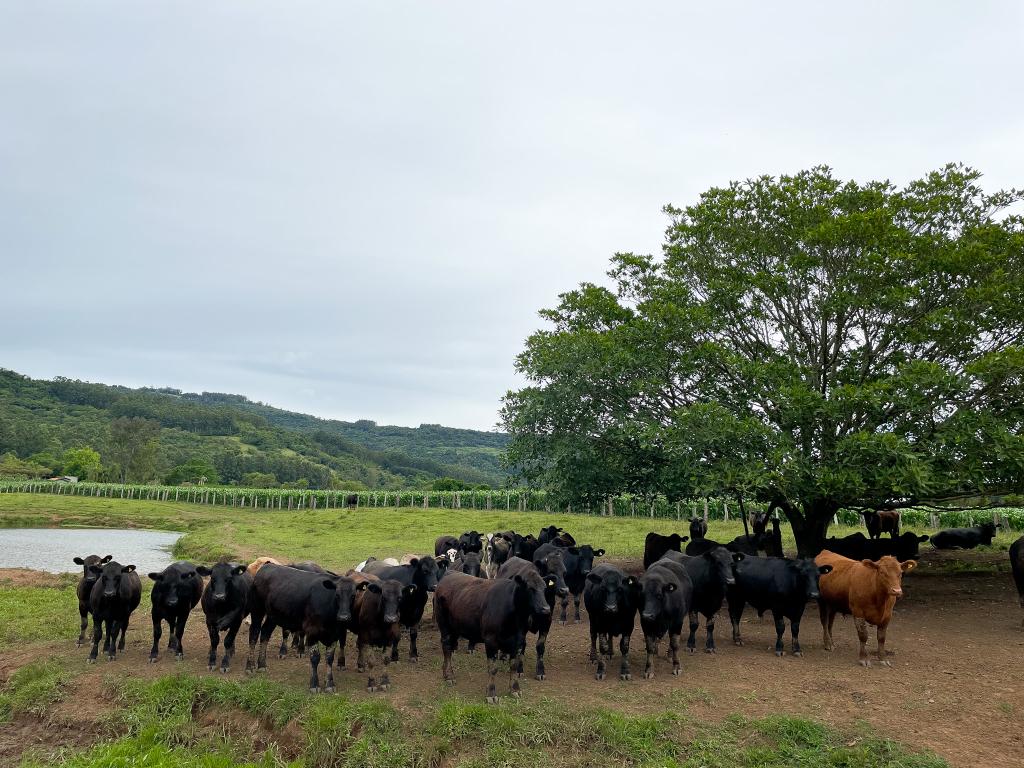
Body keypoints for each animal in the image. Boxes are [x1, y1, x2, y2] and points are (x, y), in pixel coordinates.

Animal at [244, 561, 360, 696]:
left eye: (353, 595)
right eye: (337, 594)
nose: (344, 617)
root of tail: (268, 565)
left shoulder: (334, 635)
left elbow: (329, 659)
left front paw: (330, 684)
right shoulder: (312, 632)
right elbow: (315, 658)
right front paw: (314, 685)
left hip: (273, 615)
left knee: (265, 634)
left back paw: (262, 665)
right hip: (257, 610)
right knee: (254, 634)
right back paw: (250, 667)